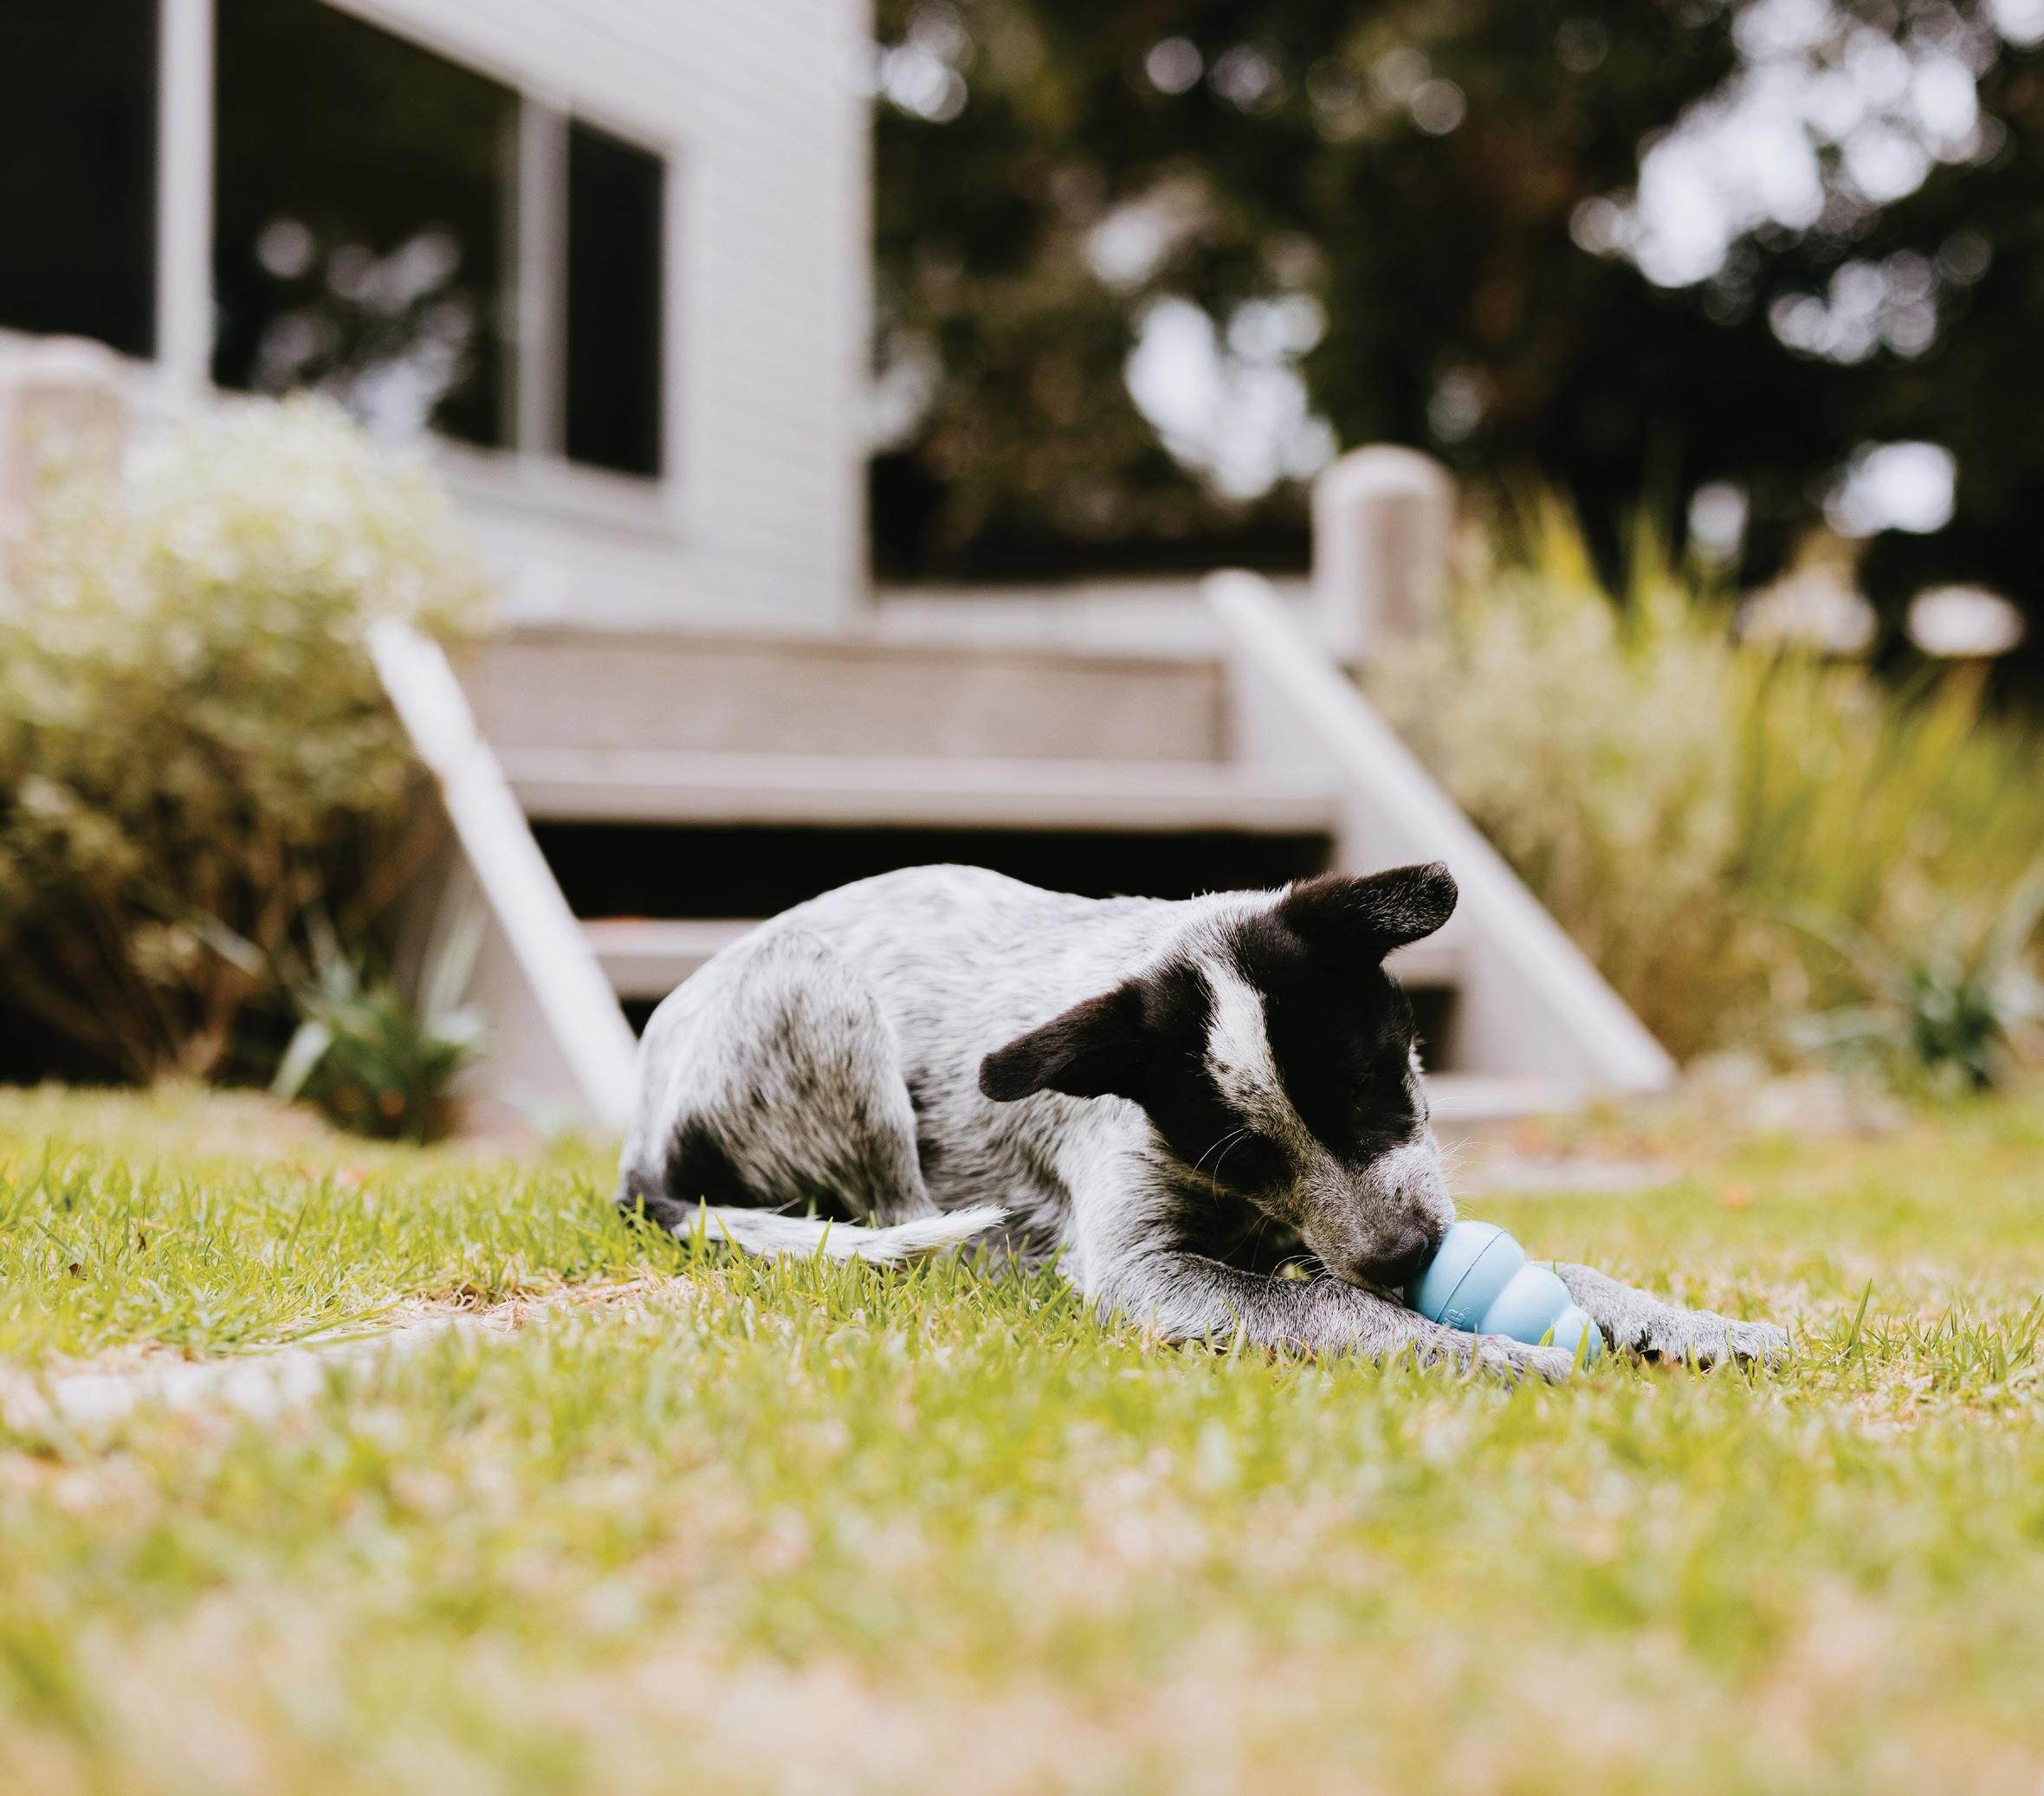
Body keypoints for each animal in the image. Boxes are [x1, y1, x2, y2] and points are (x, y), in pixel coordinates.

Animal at [616, 862, 1787, 1379]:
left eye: (1374, 1081)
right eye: (1247, 1150)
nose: (1408, 1257)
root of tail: (637, 1145)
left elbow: (1573, 1268)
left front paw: (1686, 1319)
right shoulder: (1146, 1271)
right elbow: (1333, 1305)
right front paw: (1491, 1353)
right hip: (819, 988)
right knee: (906, 1221)